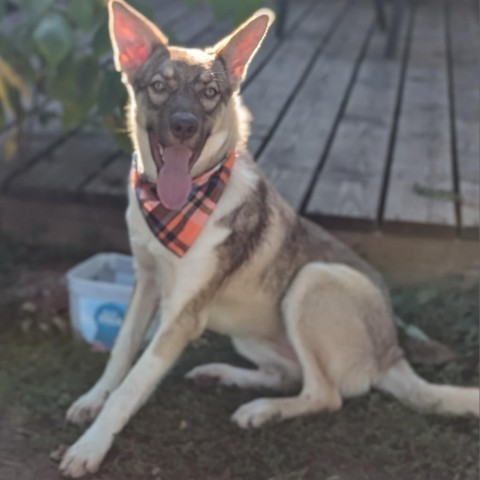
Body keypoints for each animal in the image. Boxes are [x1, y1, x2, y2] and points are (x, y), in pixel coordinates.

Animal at [60, 0, 480, 476]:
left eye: (211, 92)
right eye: (158, 86)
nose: (184, 126)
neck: (175, 209)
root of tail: (393, 352)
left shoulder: (182, 316)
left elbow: (132, 386)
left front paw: (91, 447)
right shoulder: (146, 281)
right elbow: (121, 353)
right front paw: (92, 400)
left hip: (312, 281)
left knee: (325, 394)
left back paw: (261, 410)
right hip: (248, 331)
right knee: (289, 375)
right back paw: (225, 375)